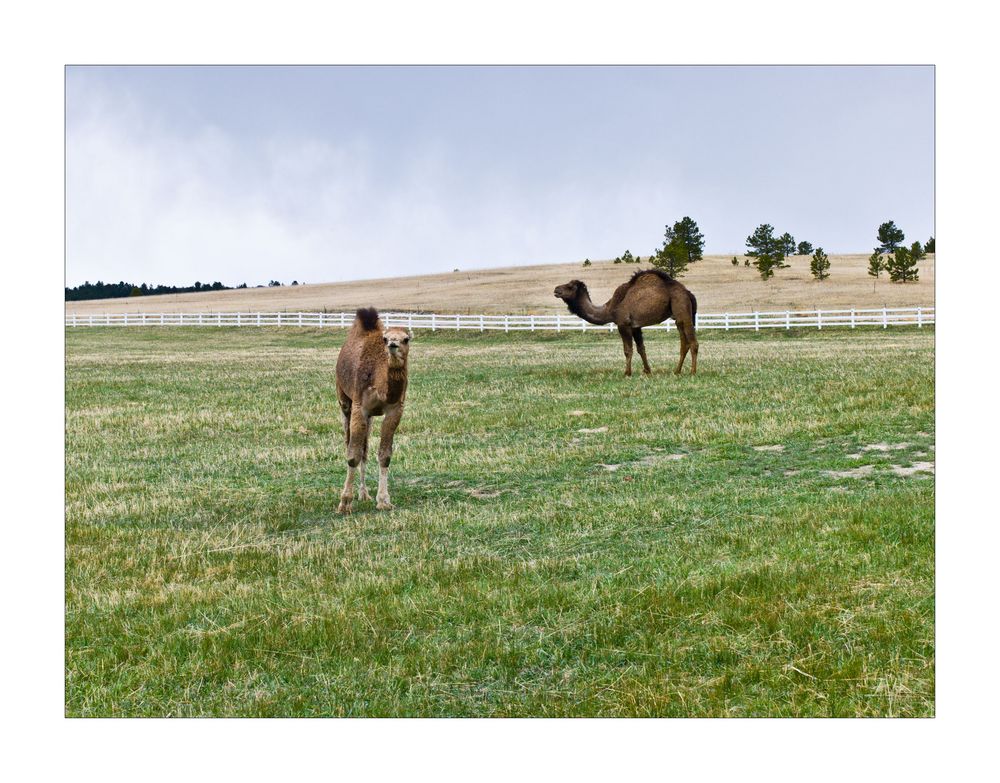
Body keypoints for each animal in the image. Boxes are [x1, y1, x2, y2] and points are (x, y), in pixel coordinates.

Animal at [336, 306, 410, 516]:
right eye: (385, 338)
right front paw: (344, 503)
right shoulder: (359, 407)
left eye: (406, 338)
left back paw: (364, 494)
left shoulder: (395, 410)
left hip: (369, 417)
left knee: (366, 448)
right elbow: (352, 455)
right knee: (349, 443)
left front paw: (384, 501)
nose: (393, 344)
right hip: (344, 400)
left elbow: (384, 455)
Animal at [552, 270, 700, 376]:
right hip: (678, 316)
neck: (610, 308)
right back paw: (677, 371)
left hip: (682, 307)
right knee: (684, 343)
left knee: (693, 343)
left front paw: (627, 373)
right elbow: (641, 348)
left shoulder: (623, 324)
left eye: (570, 286)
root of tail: (688, 293)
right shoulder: (635, 326)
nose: (556, 289)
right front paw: (647, 371)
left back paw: (692, 372)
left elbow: (628, 350)